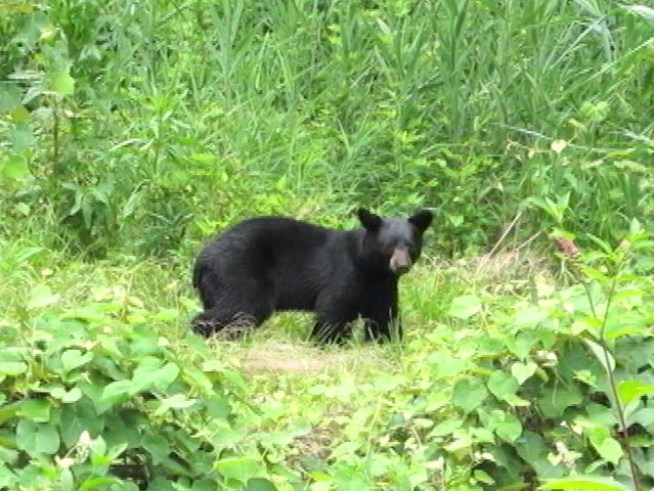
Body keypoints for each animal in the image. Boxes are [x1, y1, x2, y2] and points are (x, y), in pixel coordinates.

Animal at [191, 208, 433, 343]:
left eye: (410, 246)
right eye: (389, 246)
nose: (401, 265)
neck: (371, 268)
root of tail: (201, 259)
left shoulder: (383, 286)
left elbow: (385, 317)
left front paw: (388, 344)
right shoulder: (344, 275)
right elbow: (333, 312)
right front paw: (327, 344)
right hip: (238, 271)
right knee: (241, 306)